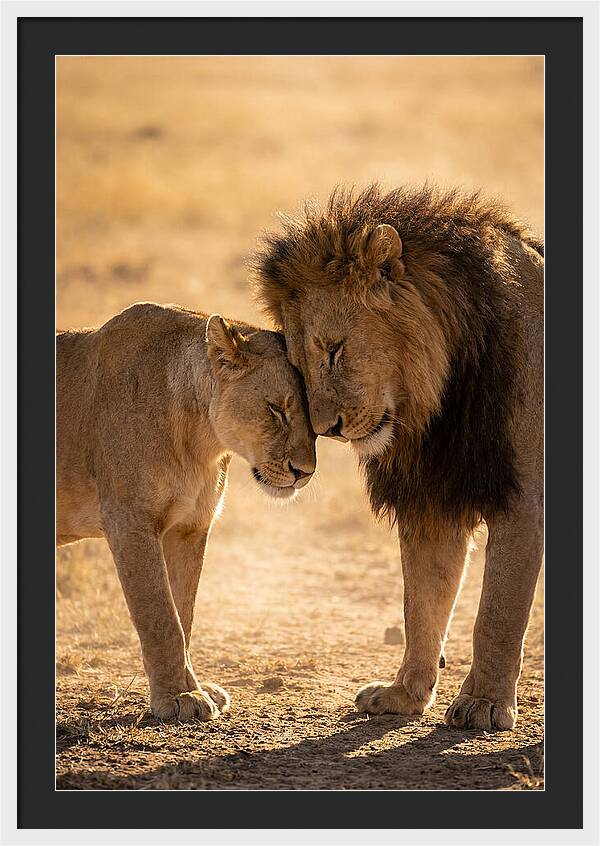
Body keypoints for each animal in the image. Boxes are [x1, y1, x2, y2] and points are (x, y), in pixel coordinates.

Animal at [57, 302, 316, 721]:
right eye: (277, 410)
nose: (305, 472)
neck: (201, 440)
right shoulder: (129, 522)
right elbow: (161, 617)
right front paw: (179, 696)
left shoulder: (190, 527)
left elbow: (184, 612)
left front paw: (194, 686)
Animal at [253, 184, 543, 731]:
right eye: (298, 366)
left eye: (334, 349)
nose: (327, 429)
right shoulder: (432, 501)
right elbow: (421, 604)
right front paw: (405, 695)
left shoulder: (524, 499)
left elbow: (497, 612)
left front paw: (484, 703)